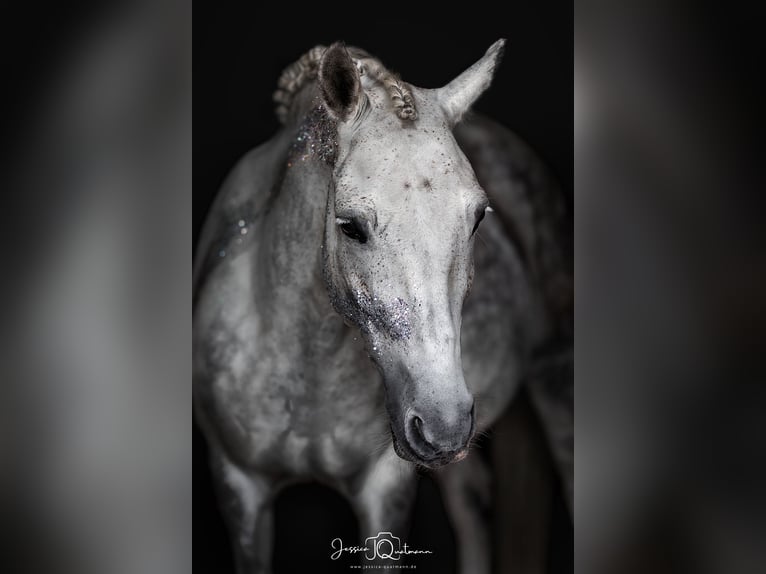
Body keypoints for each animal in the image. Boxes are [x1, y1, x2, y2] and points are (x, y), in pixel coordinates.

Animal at [193, 40, 572, 574]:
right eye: (350, 225)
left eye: (479, 217)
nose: (443, 424)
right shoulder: (239, 489)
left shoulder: (385, 490)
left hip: (555, 379)